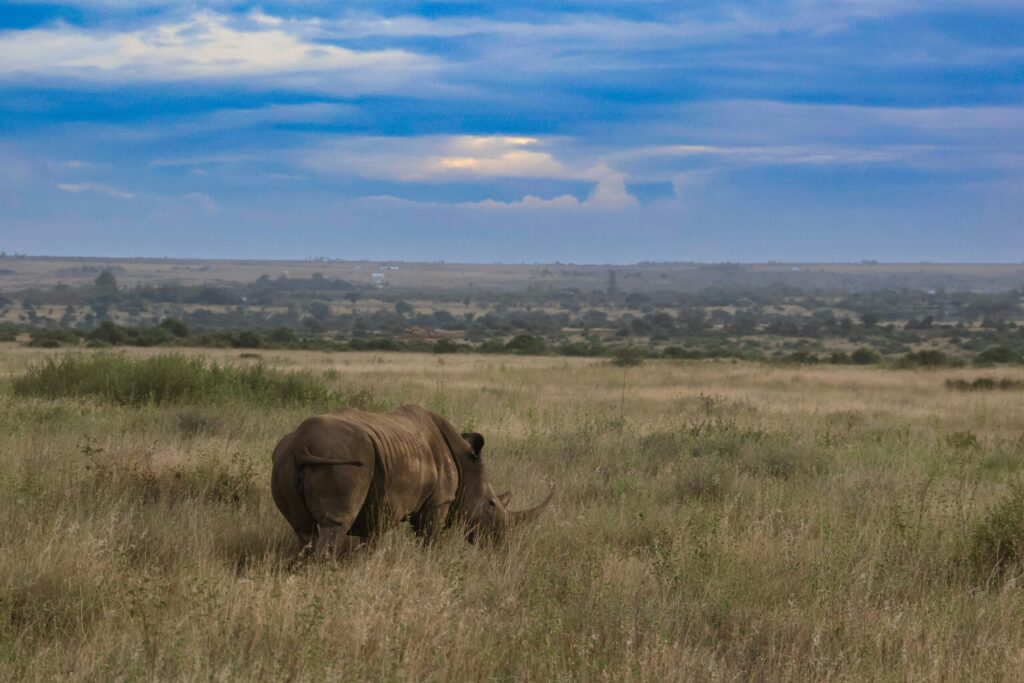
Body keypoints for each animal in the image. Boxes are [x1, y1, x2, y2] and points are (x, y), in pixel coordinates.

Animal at [271, 404, 553, 557]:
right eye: (491, 504)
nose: (500, 541)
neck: (465, 463)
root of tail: (301, 443)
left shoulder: (380, 507)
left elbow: (372, 539)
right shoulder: (439, 501)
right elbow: (428, 538)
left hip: (284, 460)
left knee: (304, 530)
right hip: (341, 459)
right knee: (336, 525)